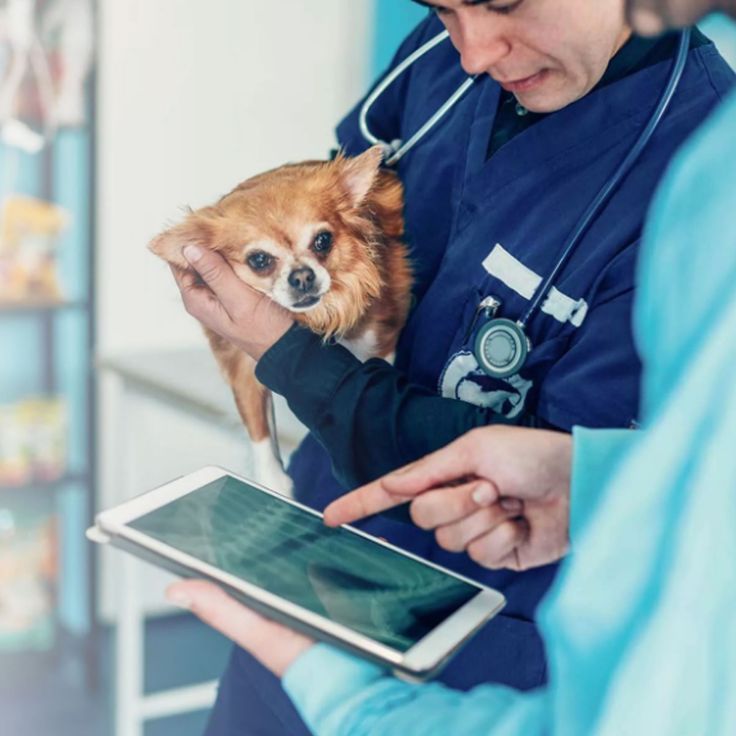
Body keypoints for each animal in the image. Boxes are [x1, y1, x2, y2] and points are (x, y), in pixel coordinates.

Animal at [148, 147, 414, 494]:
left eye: (323, 241)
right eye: (259, 260)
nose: (302, 276)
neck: (308, 318)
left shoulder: (381, 332)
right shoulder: (241, 362)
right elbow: (258, 426)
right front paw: (273, 481)